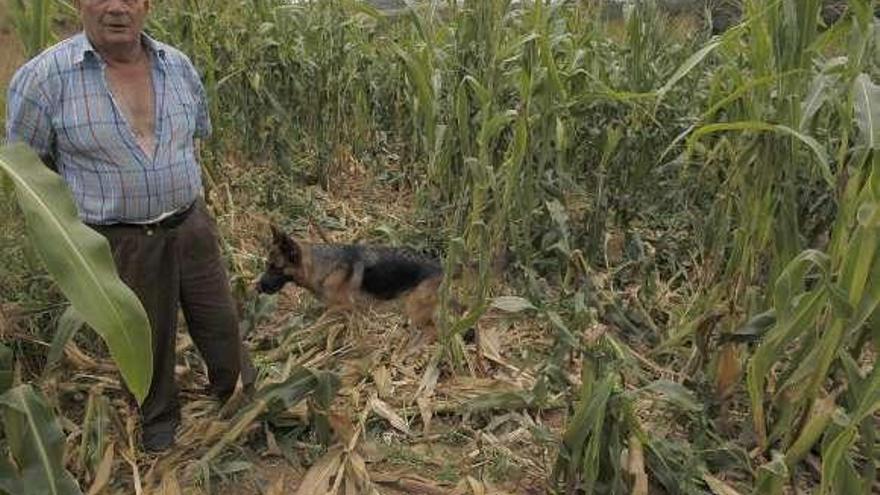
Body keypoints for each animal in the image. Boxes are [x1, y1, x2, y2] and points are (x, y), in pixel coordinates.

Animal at [258, 227, 444, 328]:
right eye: (267, 264)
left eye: (275, 268)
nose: (257, 287)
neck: (322, 267)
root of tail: (441, 268)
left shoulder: (344, 306)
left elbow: (321, 320)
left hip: (415, 310)